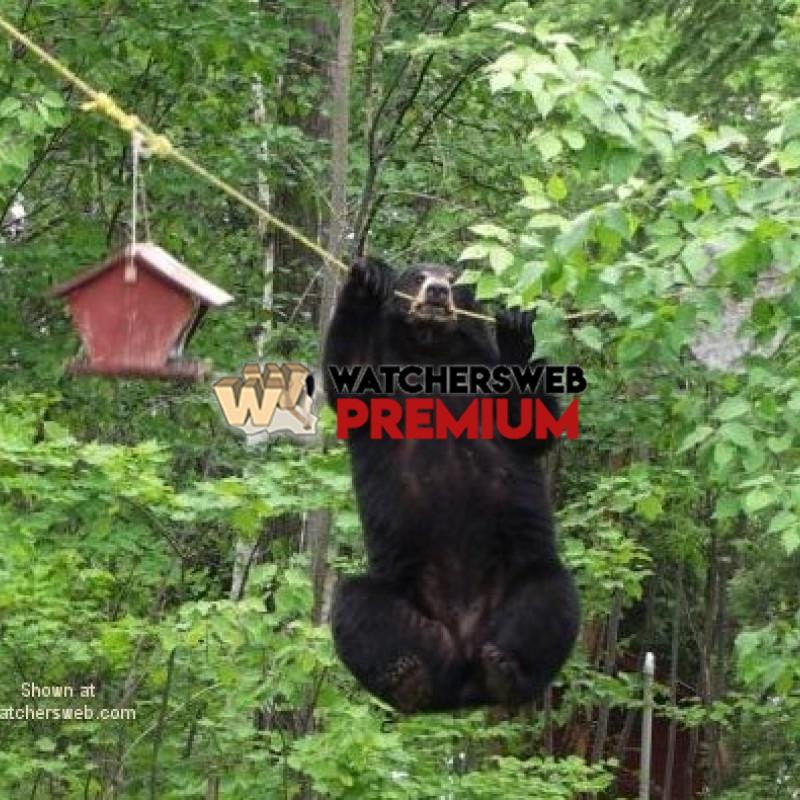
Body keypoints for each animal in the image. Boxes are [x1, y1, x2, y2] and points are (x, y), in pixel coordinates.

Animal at [323, 256, 579, 712]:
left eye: (457, 279)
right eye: (418, 277)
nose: (438, 291)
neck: (432, 353)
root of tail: (463, 683)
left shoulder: (486, 373)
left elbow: (534, 422)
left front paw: (516, 324)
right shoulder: (383, 373)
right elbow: (349, 376)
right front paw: (369, 277)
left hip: (519, 583)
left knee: (551, 597)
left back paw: (506, 671)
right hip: (402, 600)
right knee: (356, 605)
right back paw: (406, 678)